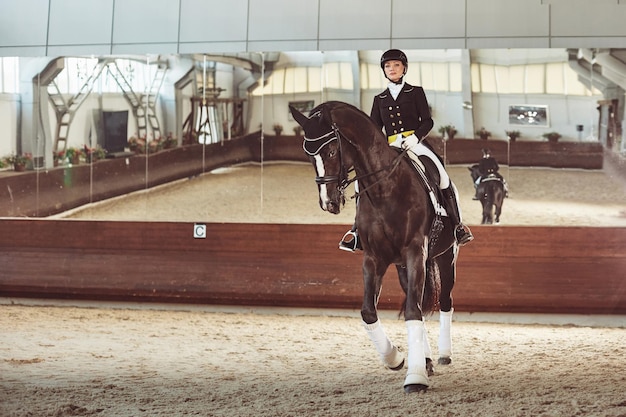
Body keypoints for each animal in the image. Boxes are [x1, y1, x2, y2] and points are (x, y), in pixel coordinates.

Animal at [290, 101, 460, 394]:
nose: (328, 202)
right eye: (308, 154)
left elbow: (413, 311)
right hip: (403, 268)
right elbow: (370, 312)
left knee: (445, 301)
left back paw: (443, 355)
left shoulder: (416, 252)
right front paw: (396, 358)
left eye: (332, 150)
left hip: (446, 256)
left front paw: (415, 378)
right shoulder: (373, 258)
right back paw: (426, 360)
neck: (385, 190)